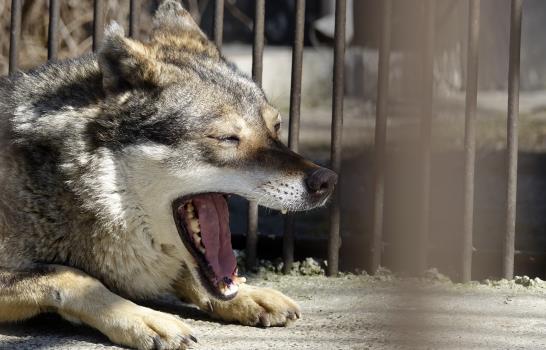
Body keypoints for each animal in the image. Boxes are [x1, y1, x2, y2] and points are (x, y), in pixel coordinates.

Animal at [0, 1, 338, 348]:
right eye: (227, 138)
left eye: (276, 128)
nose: (325, 181)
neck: (62, 182)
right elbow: (72, 275)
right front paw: (142, 318)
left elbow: (186, 274)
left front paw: (247, 294)